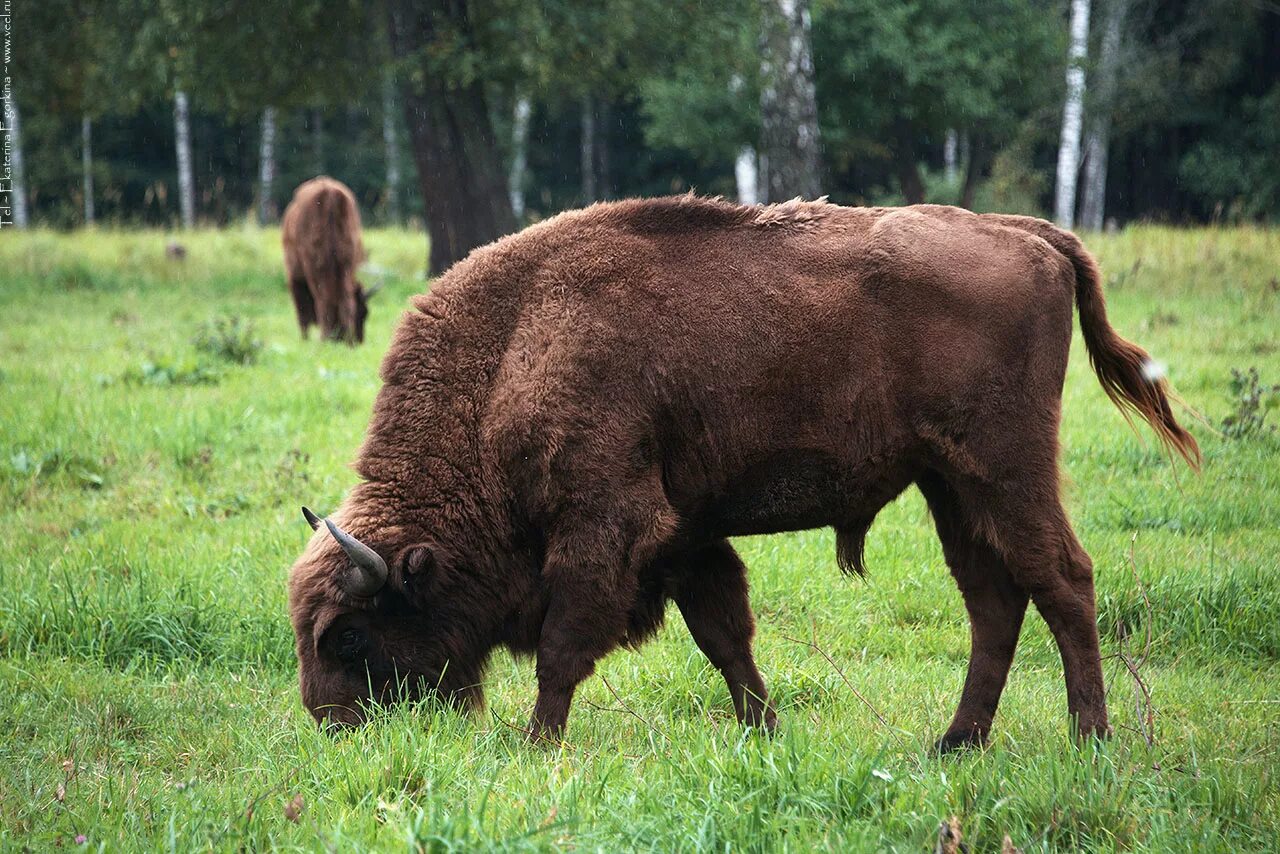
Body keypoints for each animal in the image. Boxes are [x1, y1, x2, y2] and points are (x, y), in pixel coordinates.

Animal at [281, 176, 373, 343]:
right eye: (363, 312)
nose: (358, 341)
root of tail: (330, 193)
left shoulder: (295, 276)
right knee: (341, 300)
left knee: (322, 301)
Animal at [290, 197, 1198, 752]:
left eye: (350, 635)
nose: (329, 725)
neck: (516, 346)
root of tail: (1031, 235)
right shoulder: (686, 536)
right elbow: (723, 635)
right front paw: (765, 731)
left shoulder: (604, 525)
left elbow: (563, 647)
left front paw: (537, 744)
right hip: (949, 484)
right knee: (994, 599)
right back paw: (955, 743)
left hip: (1005, 469)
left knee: (1062, 579)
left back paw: (1089, 738)